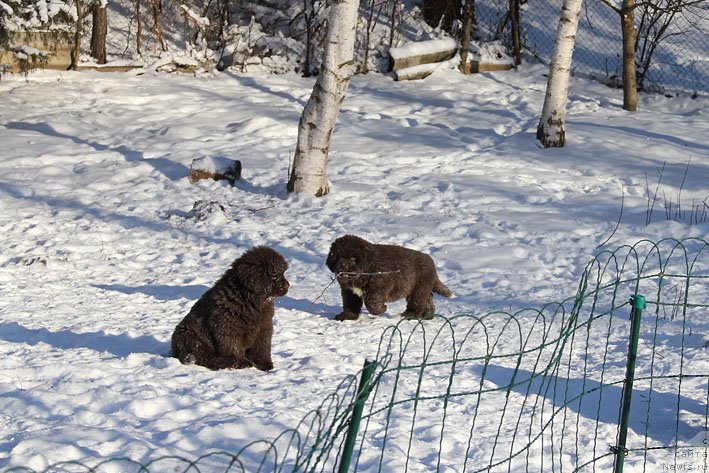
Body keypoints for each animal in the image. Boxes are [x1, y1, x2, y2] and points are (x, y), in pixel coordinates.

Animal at [326, 233, 454, 318]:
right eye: (338, 257)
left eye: (353, 258)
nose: (342, 267)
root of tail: (431, 261)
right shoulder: (349, 291)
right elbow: (350, 303)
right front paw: (347, 316)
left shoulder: (378, 288)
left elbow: (372, 303)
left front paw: (382, 309)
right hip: (420, 289)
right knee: (428, 302)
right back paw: (427, 316)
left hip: (419, 288)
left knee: (417, 302)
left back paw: (409, 315)